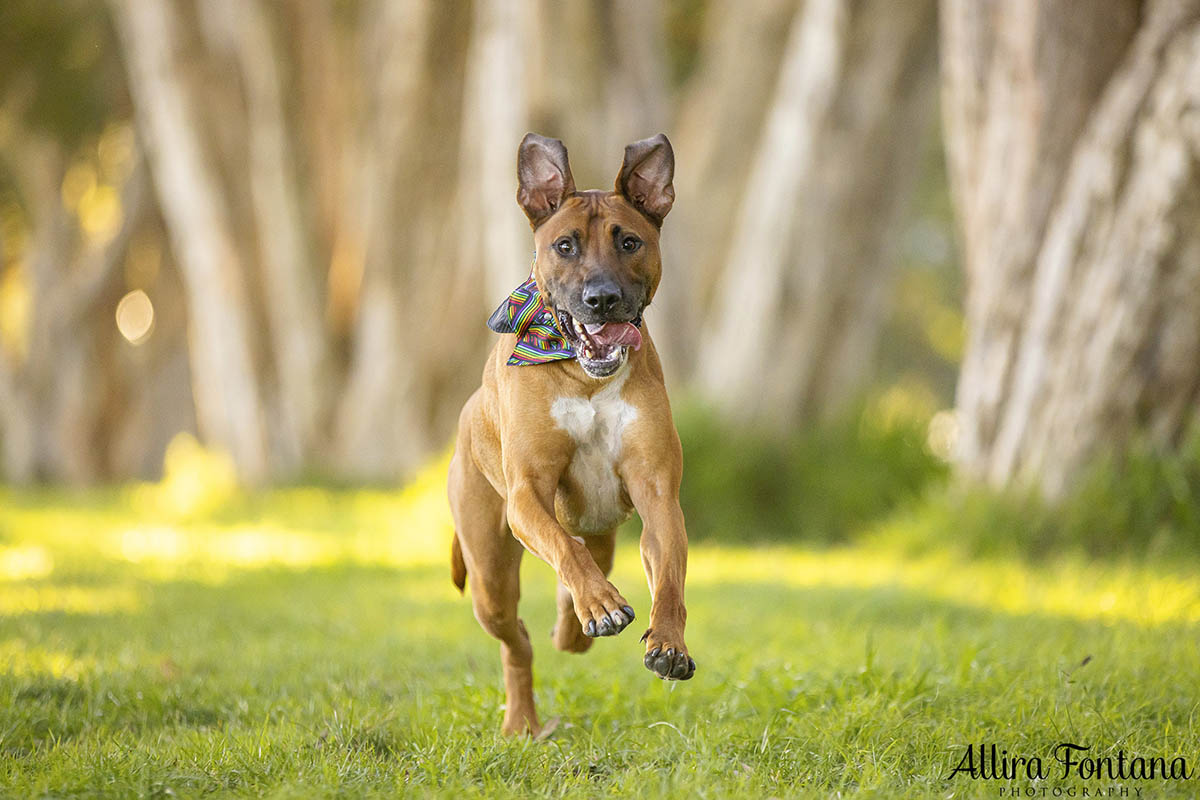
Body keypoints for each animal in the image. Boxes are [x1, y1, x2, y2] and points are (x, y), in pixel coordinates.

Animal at [448, 133, 696, 738]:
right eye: (565, 246)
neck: (585, 374)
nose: (601, 298)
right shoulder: (526, 493)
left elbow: (669, 576)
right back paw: (523, 718)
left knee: (586, 566)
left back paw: (574, 621)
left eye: (629, 241)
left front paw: (668, 643)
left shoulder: (658, 493)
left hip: (604, 529)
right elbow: (563, 548)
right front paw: (601, 607)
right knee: (518, 638)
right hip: (489, 572)